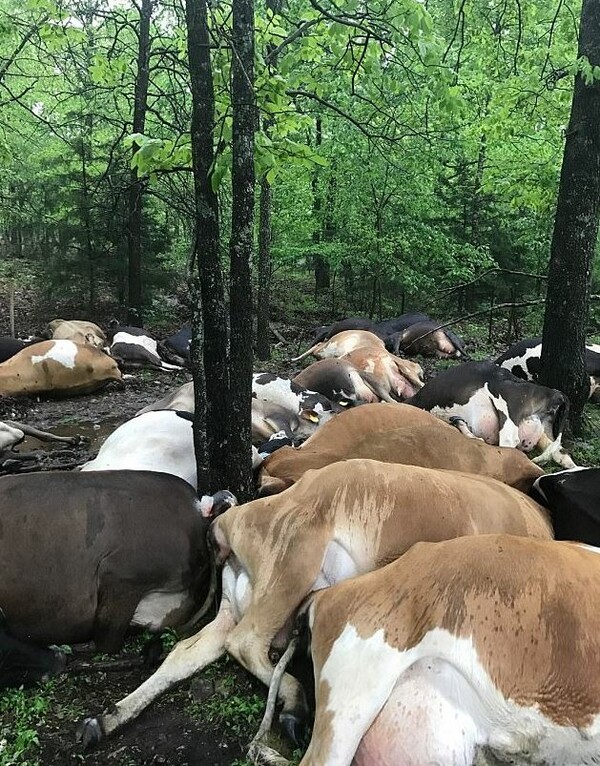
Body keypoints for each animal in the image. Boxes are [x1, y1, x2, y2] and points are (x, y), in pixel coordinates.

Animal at [77, 456, 552, 752]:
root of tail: (228, 523)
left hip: (237, 603)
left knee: (186, 652)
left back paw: (105, 720)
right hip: (293, 565)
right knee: (246, 643)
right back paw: (294, 707)